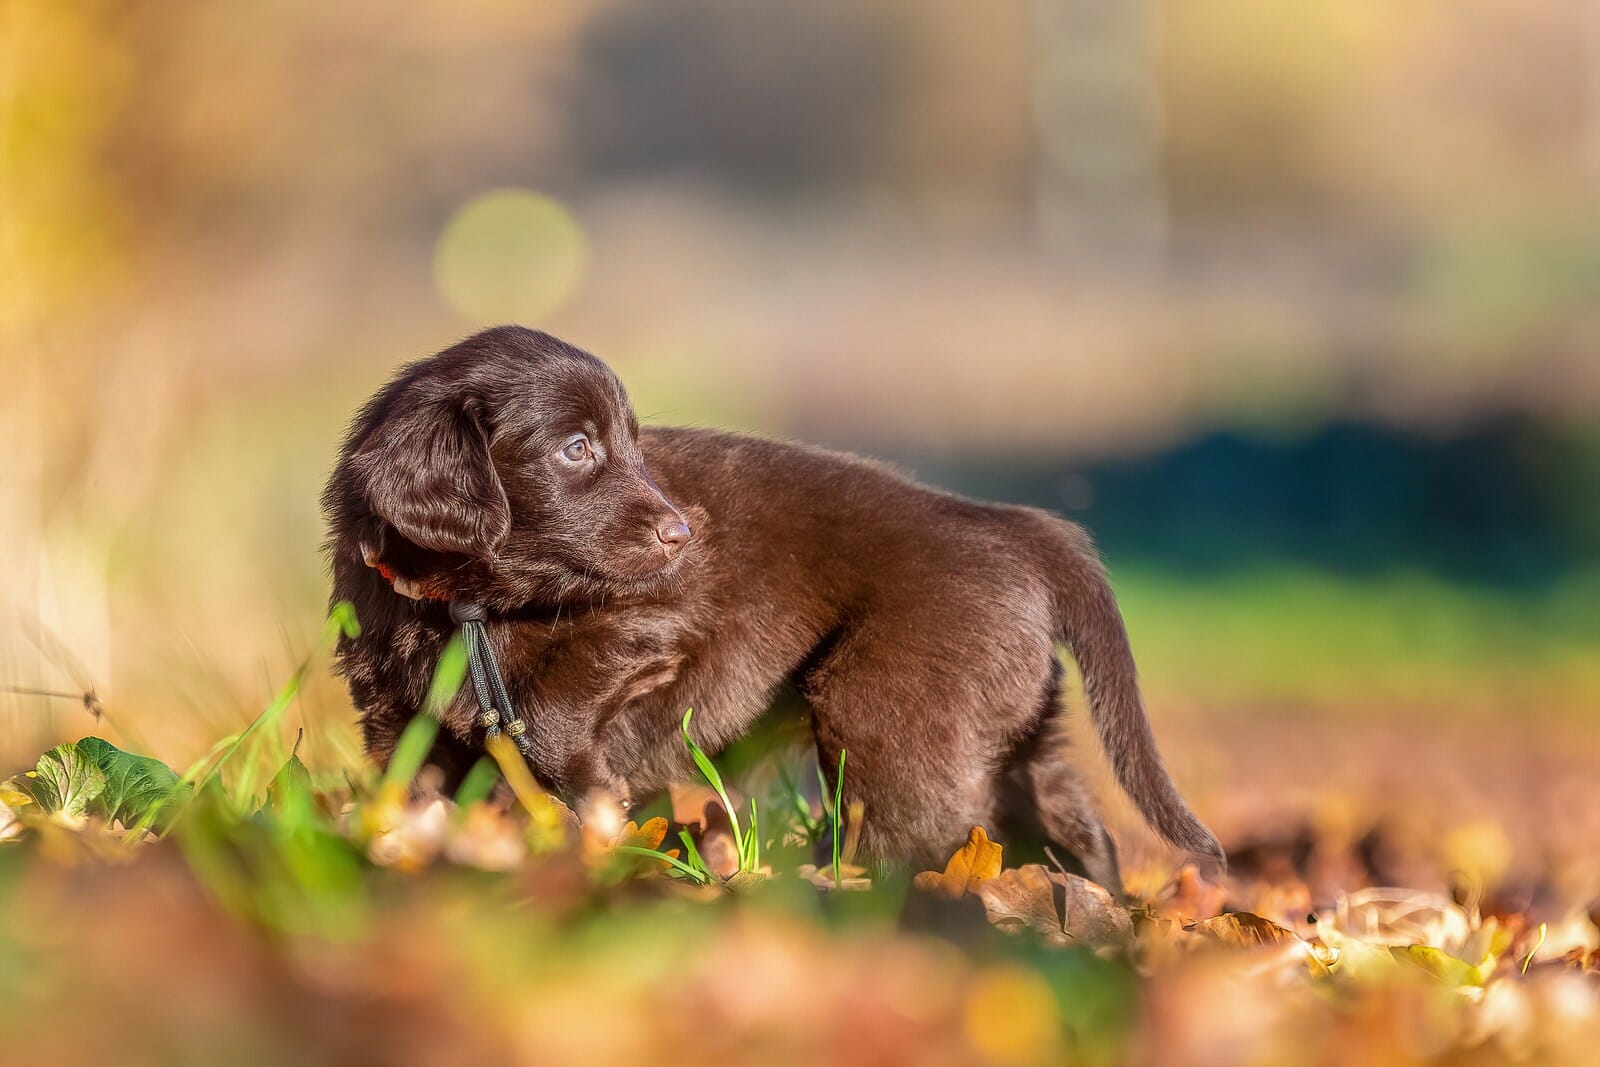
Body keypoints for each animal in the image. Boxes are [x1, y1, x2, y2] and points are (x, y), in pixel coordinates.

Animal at [328, 326, 1222, 883]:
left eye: (630, 444)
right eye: (576, 448)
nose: (684, 531)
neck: (467, 608)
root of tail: (1010, 523)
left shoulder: (661, 617)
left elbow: (554, 716)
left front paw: (591, 822)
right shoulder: (393, 714)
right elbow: (409, 788)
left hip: (886, 711)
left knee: (931, 828)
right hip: (1012, 725)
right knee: (1072, 821)